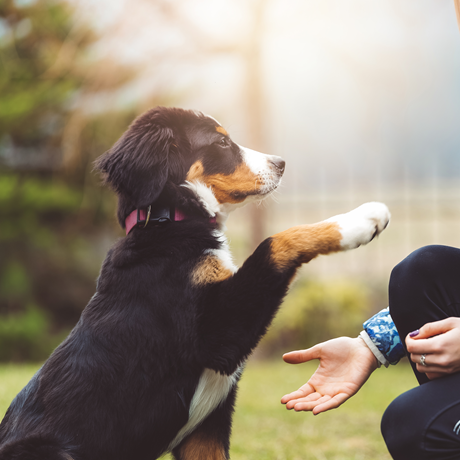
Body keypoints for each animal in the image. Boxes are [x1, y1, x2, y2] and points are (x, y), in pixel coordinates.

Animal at [0, 106, 390, 458]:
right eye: (221, 141)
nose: (281, 163)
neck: (167, 222)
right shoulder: (216, 334)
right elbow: (276, 241)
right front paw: (359, 221)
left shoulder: (206, 428)